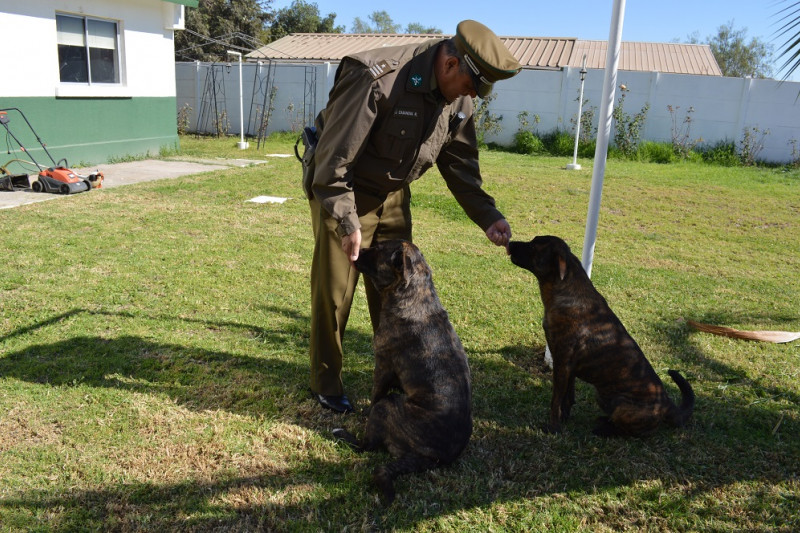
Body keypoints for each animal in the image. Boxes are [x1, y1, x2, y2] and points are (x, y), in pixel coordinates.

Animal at [332, 240, 472, 502]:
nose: (357, 250)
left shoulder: (383, 366)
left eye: (377, 249)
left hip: (390, 405)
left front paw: (364, 412)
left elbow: (375, 395)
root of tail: (430, 457)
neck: (415, 295)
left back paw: (341, 433)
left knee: (365, 446)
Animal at [512, 236, 692, 436]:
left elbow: (555, 401)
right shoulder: (569, 368)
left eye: (534, 246)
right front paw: (564, 420)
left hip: (623, 407)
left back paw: (602, 429)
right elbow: (568, 399)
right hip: (603, 395)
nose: (510, 243)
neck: (564, 290)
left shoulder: (561, 364)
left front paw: (553, 428)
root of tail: (668, 404)